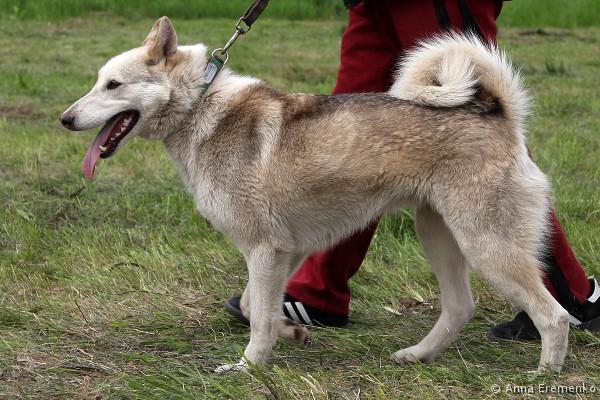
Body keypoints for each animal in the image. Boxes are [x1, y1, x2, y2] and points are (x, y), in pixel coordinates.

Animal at [60, 17, 569, 373]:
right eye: (97, 81)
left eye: (113, 85)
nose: (65, 118)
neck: (201, 107)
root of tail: (501, 115)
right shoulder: (281, 253)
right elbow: (256, 308)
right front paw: (290, 332)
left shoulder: (265, 251)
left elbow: (258, 319)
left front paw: (247, 367)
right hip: (439, 236)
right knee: (461, 307)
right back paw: (417, 355)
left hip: (486, 246)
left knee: (554, 315)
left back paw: (545, 374)